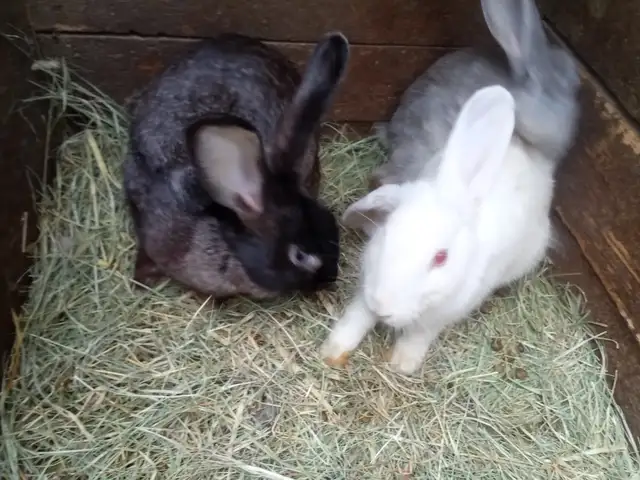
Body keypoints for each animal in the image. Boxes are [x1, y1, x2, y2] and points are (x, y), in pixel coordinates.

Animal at [320, 0, 581, 375]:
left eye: (441, 258)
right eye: (387, 233)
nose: (384, 304)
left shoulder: (442, 315)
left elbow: (420, 334)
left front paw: (402, 363)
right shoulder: (366, 288)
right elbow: (356, 316)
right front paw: (333, 350)